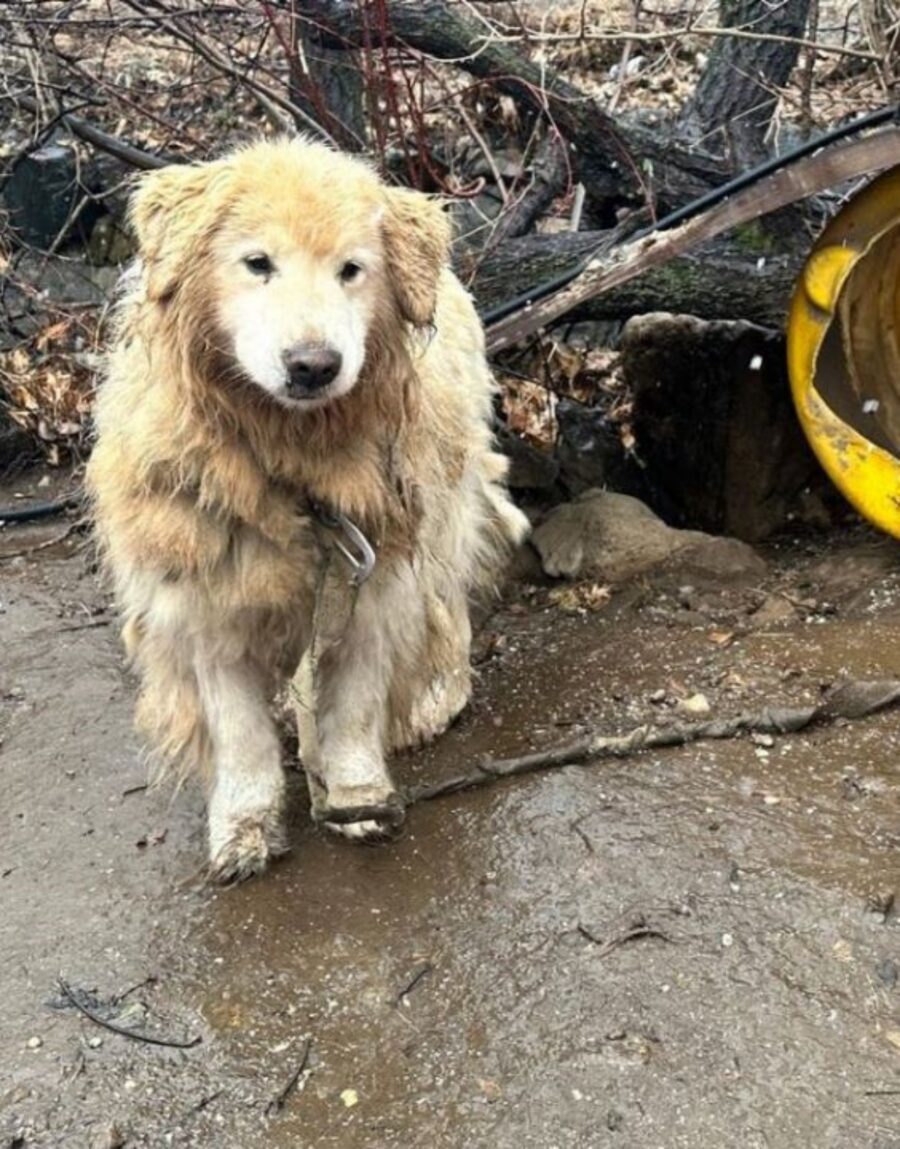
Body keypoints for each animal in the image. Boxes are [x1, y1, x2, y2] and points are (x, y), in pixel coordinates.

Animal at [86, 136, 528, 877]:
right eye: (258, 263)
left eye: (351, 269)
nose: (314, 365)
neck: (286, 459)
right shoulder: (210, 598)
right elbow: (240, 734)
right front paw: (244, 826)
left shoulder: (371, 582)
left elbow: (352, 709)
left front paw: (357, 796)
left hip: (441, 509)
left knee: (447, 602)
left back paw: (435, 698)